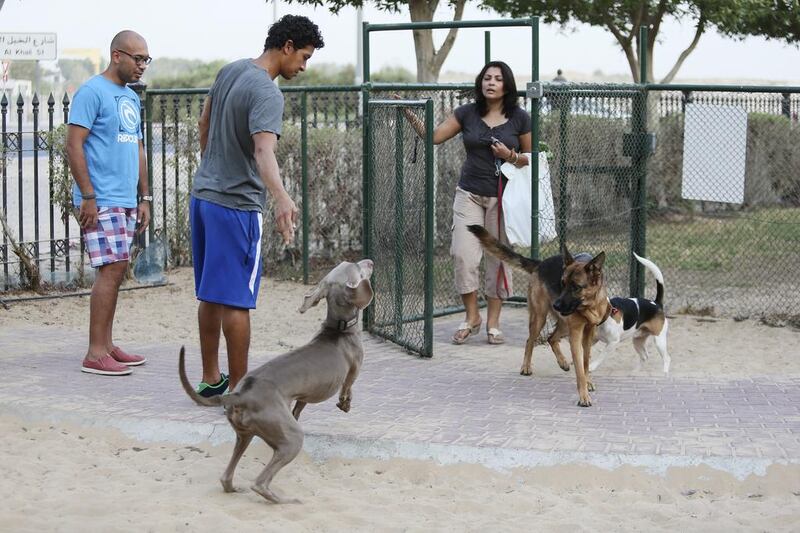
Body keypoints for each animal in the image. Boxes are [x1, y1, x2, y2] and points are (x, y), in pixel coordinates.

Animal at [180, 260, 374, 504]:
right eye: (357, 267)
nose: (370, 261)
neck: (339, 327)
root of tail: (240, 394)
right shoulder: (355, 369)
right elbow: (348, 387)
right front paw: (345, 404)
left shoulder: (303, 395)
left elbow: (300, 406)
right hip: (291, 439)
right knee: (260, 483)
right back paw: (287, 500)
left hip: (246, 434)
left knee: (226, 476)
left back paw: (234, 488)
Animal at [466, 225, 608, 408]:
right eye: (562, 284)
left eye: (576, 287)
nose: (556, 305)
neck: (588, 305)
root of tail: (540, 263)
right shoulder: (576, 333)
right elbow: (579, 368)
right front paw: (583, 395)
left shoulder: (588, 332)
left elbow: (585, 362)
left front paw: (588, 382)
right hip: (539, 318)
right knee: (530, 341)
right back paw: (526, 367)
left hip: (563, 325)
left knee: (551, 338)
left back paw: (562, 362)